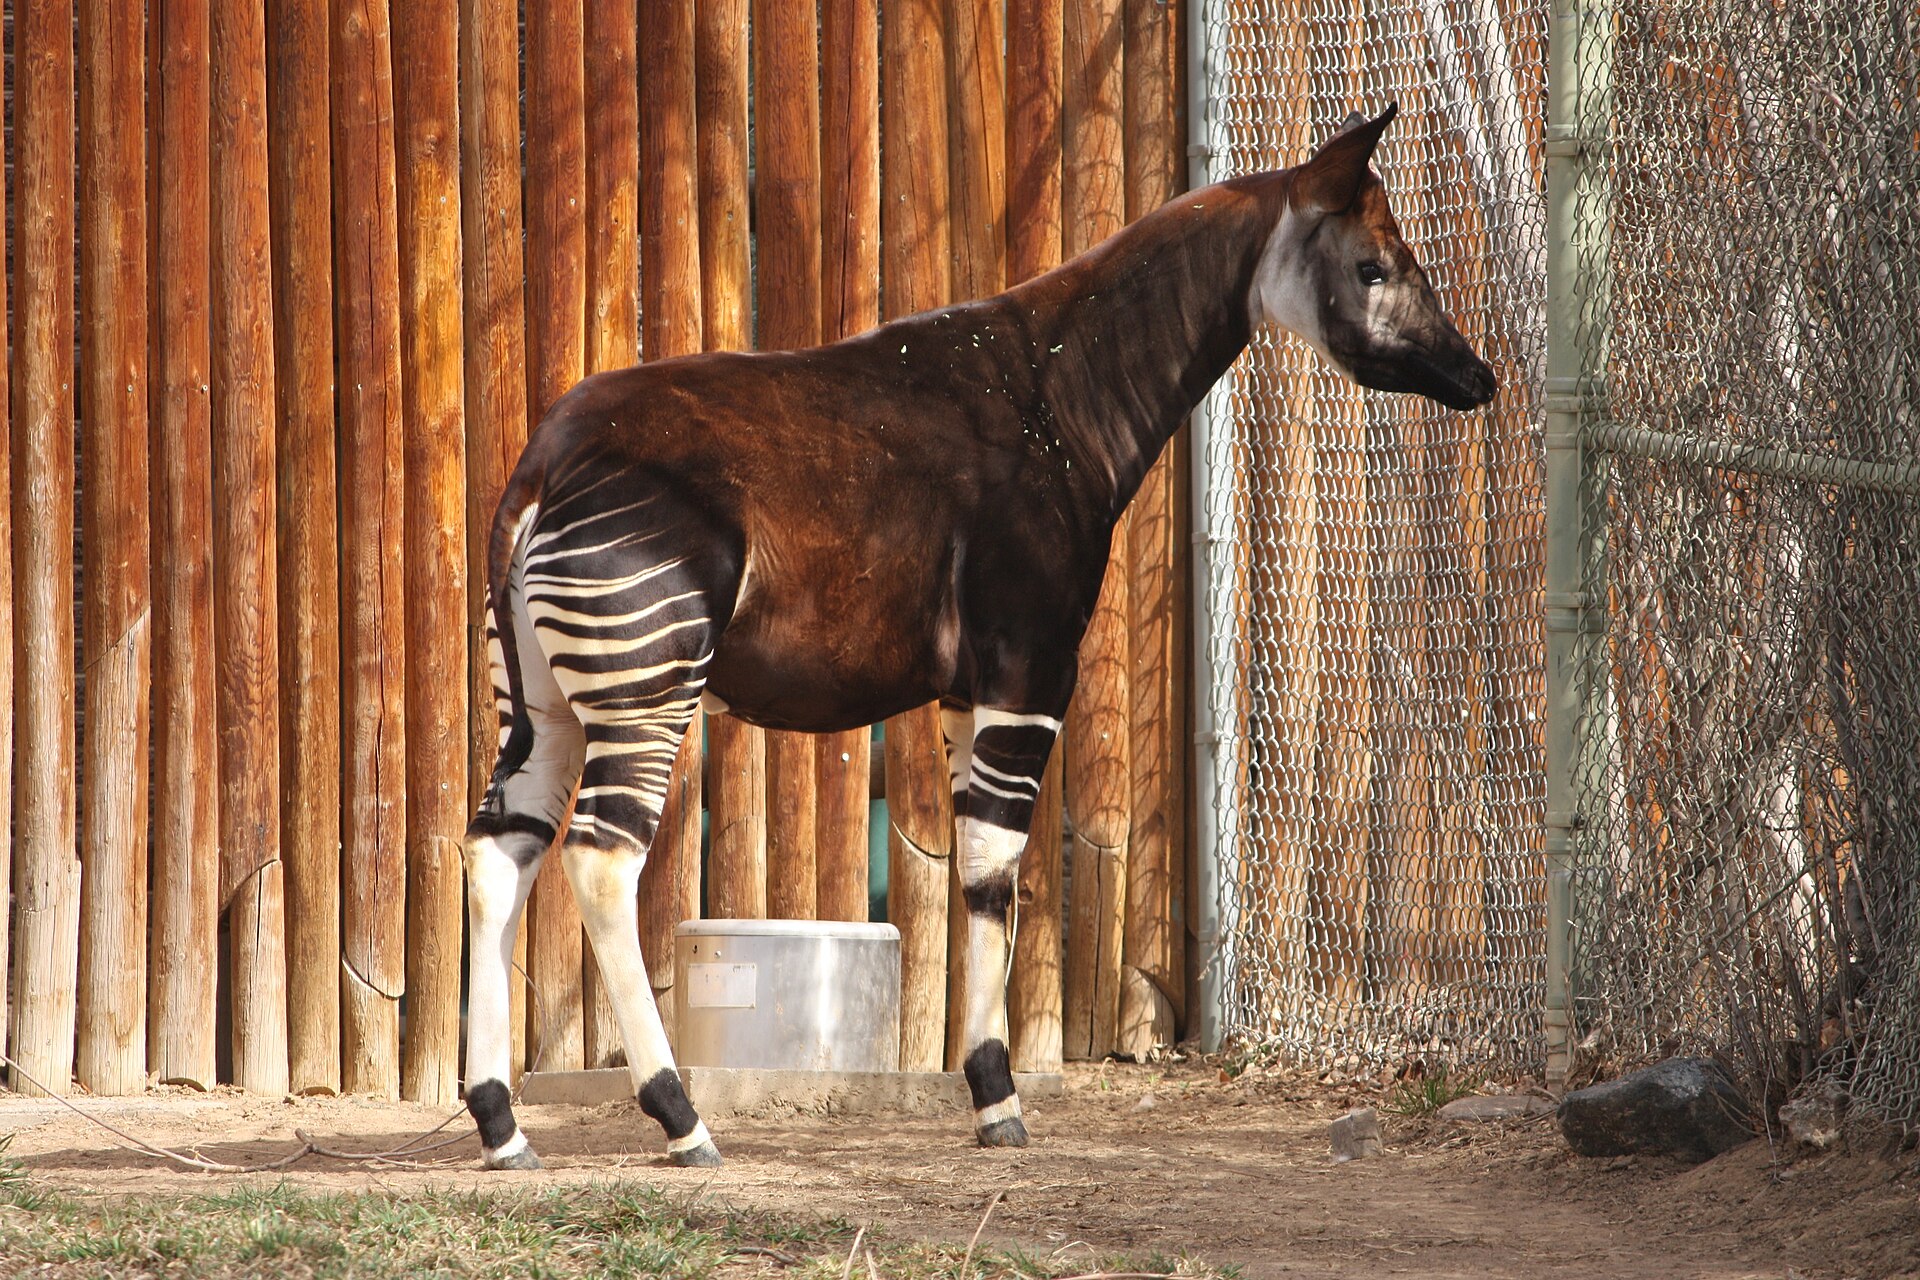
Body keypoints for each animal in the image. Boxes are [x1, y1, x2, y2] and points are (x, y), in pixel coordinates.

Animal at [461, 103, 1496, 1169]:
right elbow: (999, 872)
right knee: (599, 861)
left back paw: (502, 1124)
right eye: (1374, 266)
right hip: (646, 679)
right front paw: (998, 1097)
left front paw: (983, 1088)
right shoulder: (1030, 665)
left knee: (498, 850)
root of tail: (543, 463)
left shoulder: (968, 690)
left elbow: (973, 875)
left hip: (540, 694)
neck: (1071, 399)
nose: (1479, 374)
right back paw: (681, 1116)